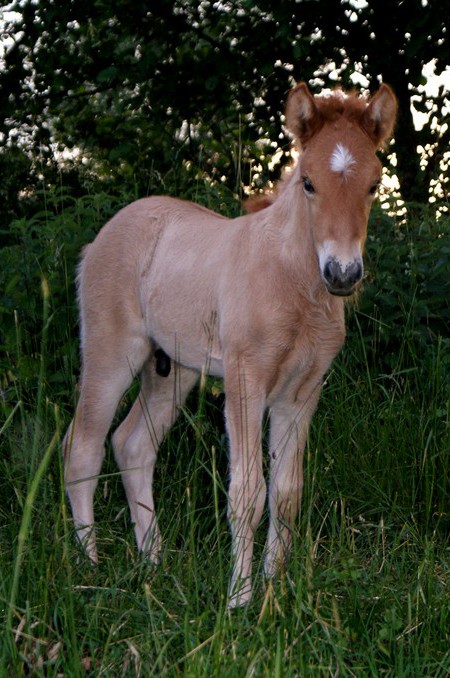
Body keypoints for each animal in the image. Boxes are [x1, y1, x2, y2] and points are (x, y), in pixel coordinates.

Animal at [64, 82, 398, 608]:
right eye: (308, 183)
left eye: (373, 185)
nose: (342, 275)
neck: (293, 284)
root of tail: (102, 236)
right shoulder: (246, 383)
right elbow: (247, 493)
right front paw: (239, 601)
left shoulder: (301, 394)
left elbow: (286, 494)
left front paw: (274, 593)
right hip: (110, 354)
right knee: (82, 447)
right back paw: (89, 569)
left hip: (172, 370)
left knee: (132, 445)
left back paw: (153, 564)